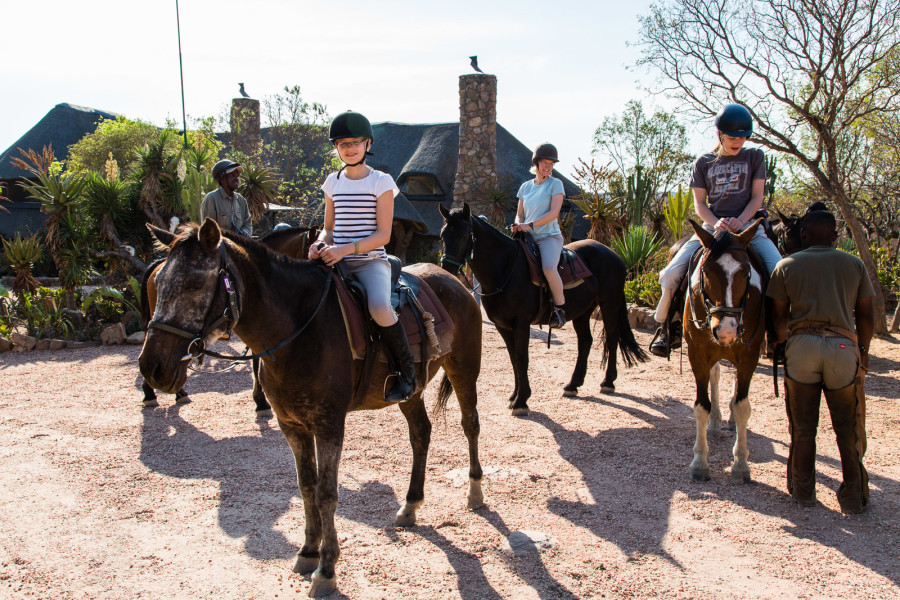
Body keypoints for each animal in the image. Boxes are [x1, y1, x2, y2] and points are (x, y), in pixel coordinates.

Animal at [438, 200, 644, 412]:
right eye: (443, 235)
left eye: (465, 235)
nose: (448, 269)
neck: (506, 268)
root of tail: (614, 255)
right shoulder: (503, 326)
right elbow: (513, 358)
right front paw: (514, 396)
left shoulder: (521, 324)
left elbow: (522, 358)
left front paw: (521, 400)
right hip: (582, 312)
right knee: (585, 341)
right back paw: (573, 384)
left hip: (609, 304)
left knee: (611, 339)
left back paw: (608, 382)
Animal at [684, 218, 764, 486]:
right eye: (706, 272)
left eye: (746, 272)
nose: (727, 329)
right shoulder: (697, 354)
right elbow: (701, 406)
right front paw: (700, 462)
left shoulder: (749, 356)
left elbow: (743, 407)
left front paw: (740, 465)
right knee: (716, 375)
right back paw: (716, 423)